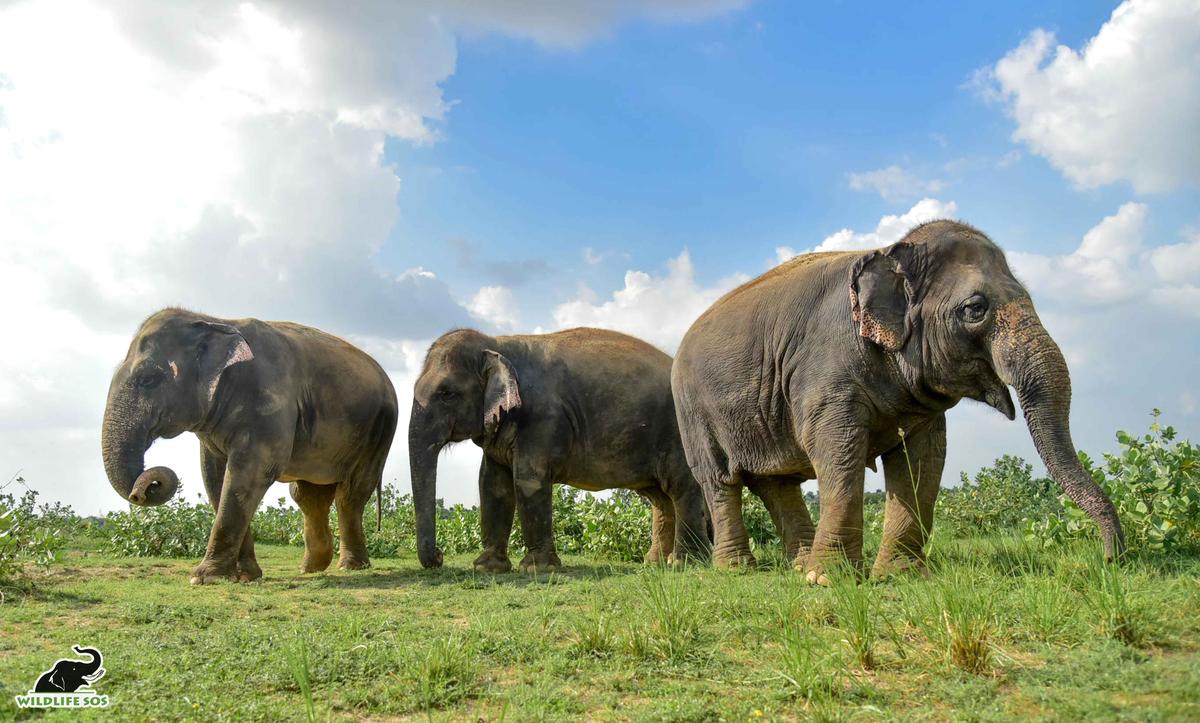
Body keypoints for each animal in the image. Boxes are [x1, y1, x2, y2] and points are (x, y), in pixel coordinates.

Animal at [100, 306, 396, 583]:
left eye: (147, 379)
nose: (141, 492)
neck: (213, 321)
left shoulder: (268, 400)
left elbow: (250, 472)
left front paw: (205, 578)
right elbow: (215, 477)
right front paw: (245, 576)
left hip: (378, 433)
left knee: (350, 494)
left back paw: (350, 566)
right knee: (307, 495)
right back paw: (311, 568)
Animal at [410, 326, 710, 569]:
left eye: (447, 394)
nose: (439, 556)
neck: (497, 344)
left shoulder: (542, 419)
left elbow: (529, 479)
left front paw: (537, 569)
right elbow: (492, 485)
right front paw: (487, 567)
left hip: (679, 431)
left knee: (681, 486)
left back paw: (685, 563)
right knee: (660, 497)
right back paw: (656, 562)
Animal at [676, 219, 1123, 578]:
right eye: (975, 308)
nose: (1111, 559)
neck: (890, 252)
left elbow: (922, 459)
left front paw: (899, 576)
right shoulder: (824, 372)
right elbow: (836, 448)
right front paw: (829, 581)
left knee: (777, 483)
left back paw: (799, 565)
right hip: (693, 413)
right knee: (719, 481)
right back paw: (738, 570)